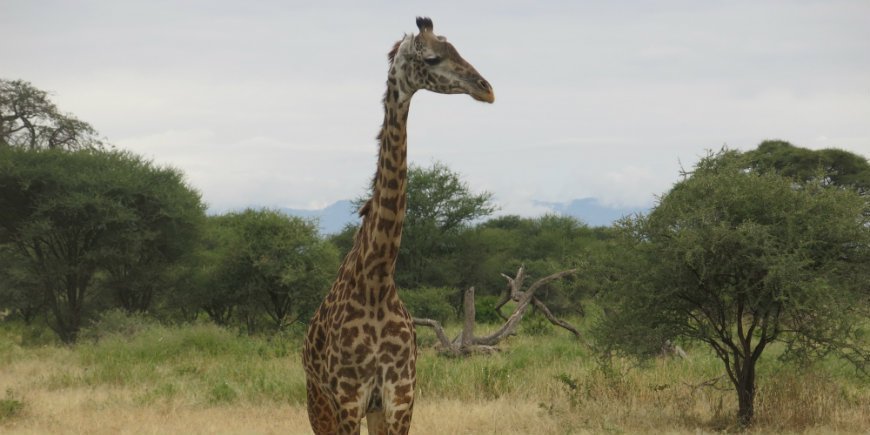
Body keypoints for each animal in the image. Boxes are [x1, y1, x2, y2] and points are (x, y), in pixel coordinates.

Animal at [302, 17, 494, 435]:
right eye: (434, 57)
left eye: (458, 48)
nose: (486, 89)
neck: (377, 280)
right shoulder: (348, 399)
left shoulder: (400, 397)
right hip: (318, 403)